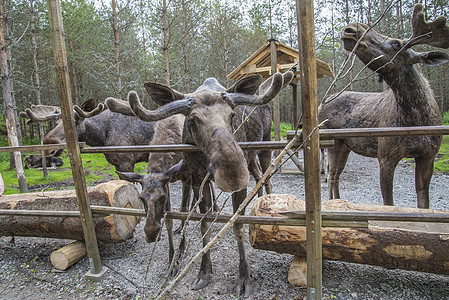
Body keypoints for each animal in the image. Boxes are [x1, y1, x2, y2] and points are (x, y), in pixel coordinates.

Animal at [21, 99, 158, 172]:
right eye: (56, 122)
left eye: (76, 121)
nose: (50, 144)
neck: (101, 137)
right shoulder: (117, 164)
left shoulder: (127, 162)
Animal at [105, 71, 294, 298]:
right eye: (192, 121)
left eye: (232, 115)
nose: (233, 175)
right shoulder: (196, 178)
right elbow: (203, 223)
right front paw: (204, 271)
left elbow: (237, 225)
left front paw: (244, 276)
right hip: (248, 159)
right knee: (257, 175)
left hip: (263, 147)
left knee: (267, 177)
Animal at [316, 2, 446, 209]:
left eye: (396, 43)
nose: (351, 28)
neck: (416, 118)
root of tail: (322, 104)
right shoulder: (385, 156)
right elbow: (389, 203)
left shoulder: (429, 155)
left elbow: (423, 202)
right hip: (333, 143)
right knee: (332, 175)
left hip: (345, 145)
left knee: (335, 175)